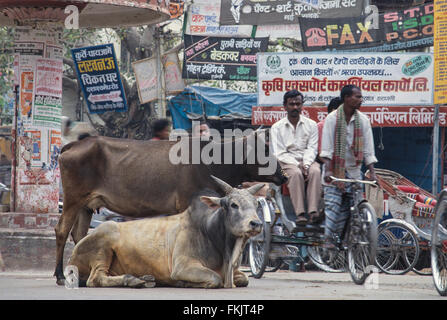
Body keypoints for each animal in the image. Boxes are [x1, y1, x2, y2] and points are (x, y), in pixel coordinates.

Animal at [68, 176, 264, 288]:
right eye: (233, 204)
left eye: (256, 204)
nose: (256, 223)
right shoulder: (183, 266)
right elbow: (215, 279)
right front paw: (183, 283)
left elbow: (244, 279)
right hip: (102, 246)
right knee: (95, 279)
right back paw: (131, 280)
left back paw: (144, 279)